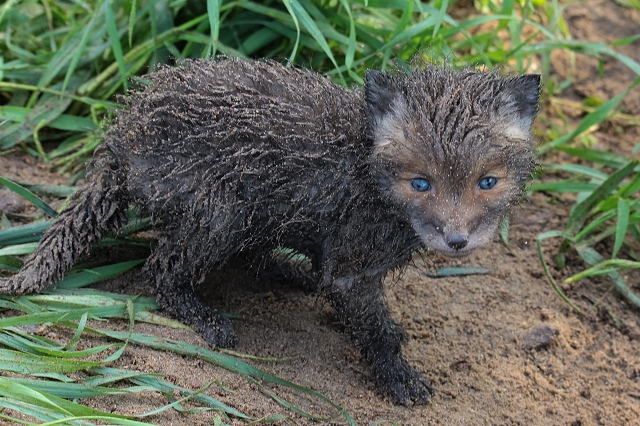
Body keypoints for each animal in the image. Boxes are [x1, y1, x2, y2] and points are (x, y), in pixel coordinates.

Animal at [0, 58, 540, 404]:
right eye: (420, 182)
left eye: (487, 182)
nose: (457, 240)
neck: (366, 167)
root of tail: (123, 132)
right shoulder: (352, 270)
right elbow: (374, 330)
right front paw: (400, 379)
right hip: (221, 209)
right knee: (161, 270)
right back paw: (205, 317)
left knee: (249, 258)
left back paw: (293, 274)